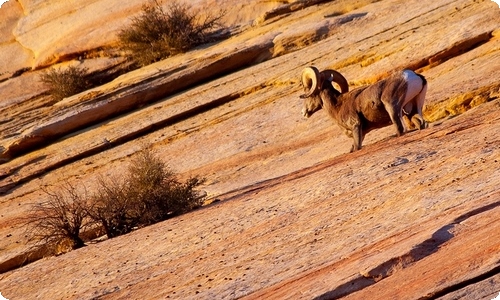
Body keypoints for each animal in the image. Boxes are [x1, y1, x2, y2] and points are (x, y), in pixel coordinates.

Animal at [298, 68, 428, 152]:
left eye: (309, 91)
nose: (303, 112)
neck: (337, 106)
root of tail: (414, 76)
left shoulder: (356, 127)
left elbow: (357, 148)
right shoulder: (361, 133)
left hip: (392, 108)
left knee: (401, 129)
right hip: (413, 109)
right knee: (421, 123)